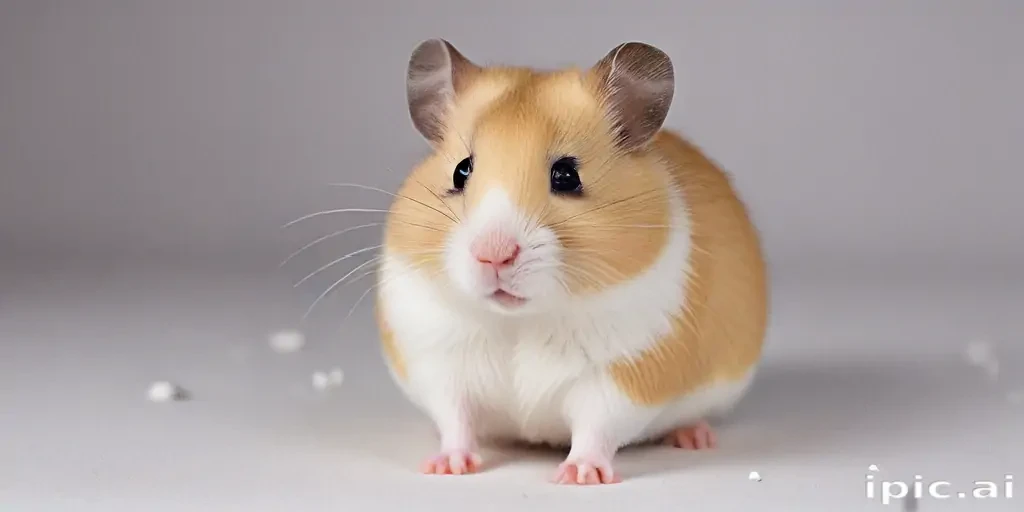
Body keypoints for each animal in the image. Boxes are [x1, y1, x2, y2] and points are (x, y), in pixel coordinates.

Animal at [374, 39, 767, 485]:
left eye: (566, 176)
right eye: (461, 171)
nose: (494, 254)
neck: (520, 320)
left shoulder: (623, 375)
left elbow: (596, 428)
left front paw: (578, 476)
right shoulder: (439, 366)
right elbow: (455, 420)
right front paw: (446, 467)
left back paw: (694, 437)